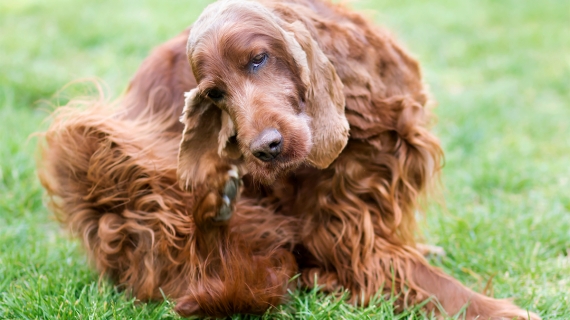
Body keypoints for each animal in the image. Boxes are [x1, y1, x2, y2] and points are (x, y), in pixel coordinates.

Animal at [38, 0, 536, 318]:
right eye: (215, 94)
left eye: (259, 59)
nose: (264, 148)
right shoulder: (337, 228)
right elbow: (422, 279)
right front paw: (502, 311)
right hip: (96, 146)